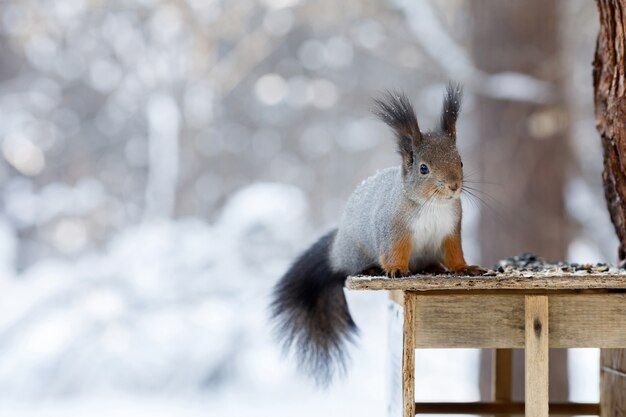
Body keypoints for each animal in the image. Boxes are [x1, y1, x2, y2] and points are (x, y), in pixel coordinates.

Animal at [268, 83, 482, 386]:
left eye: (461, 162)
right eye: (423, 168)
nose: (453, 186)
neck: (433, 205)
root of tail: (334, 251)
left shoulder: (451, 229)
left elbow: (454, 254)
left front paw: (464, 268)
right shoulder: (394, 228)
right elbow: (393, 250)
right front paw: (395, 270)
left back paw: (433, 268)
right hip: (354, 254)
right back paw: (371, 268)